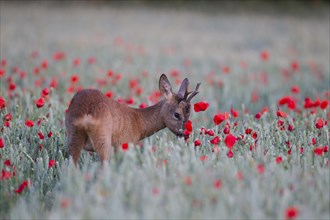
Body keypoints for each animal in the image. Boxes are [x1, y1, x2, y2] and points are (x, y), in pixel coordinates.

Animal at [63, 74, 199, 165]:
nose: (185, 133)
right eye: (177, 114)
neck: (138, 122)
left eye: (189, 114)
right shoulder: (124, 143)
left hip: (73, 136)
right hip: (103, 138)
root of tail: (86, 112)